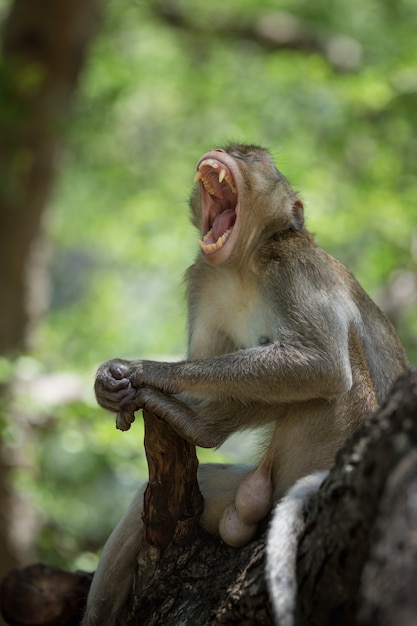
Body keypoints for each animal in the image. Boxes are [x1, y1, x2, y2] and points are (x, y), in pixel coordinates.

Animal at [83, 144, 408, 620]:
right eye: (234, 149)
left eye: (252, 158)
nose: (221, 152)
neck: (242, 264)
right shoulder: (204, 278)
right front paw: (108, 387)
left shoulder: (294, 266)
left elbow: (322, 365)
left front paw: (145, 370)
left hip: (330, 439)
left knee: (332, 368)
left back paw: (202, 429)